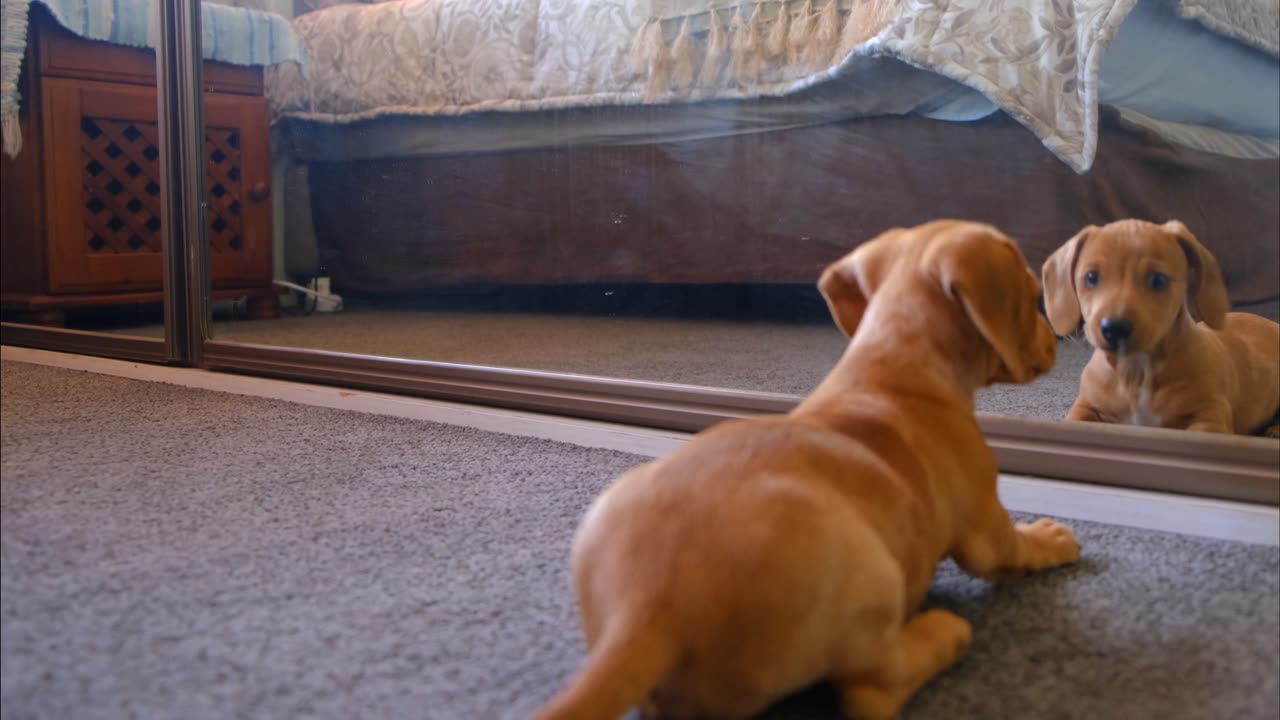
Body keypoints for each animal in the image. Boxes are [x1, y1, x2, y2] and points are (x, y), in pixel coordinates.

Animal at [537, 219, 1080, 717]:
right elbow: (1016, 549)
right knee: (872, 690)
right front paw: (1051, 538)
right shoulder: (985, 523)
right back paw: (943, 633)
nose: (1057, 342)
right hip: (871, 579)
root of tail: (647, 607)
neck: (897, 361)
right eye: (1033, 295)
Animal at [1039, 215, 1280, 435]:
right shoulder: (1085, 408)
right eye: (1091, 277)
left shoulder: (1210, 418)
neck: (1135, 374)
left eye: (1158, 280)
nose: (1114, 328)